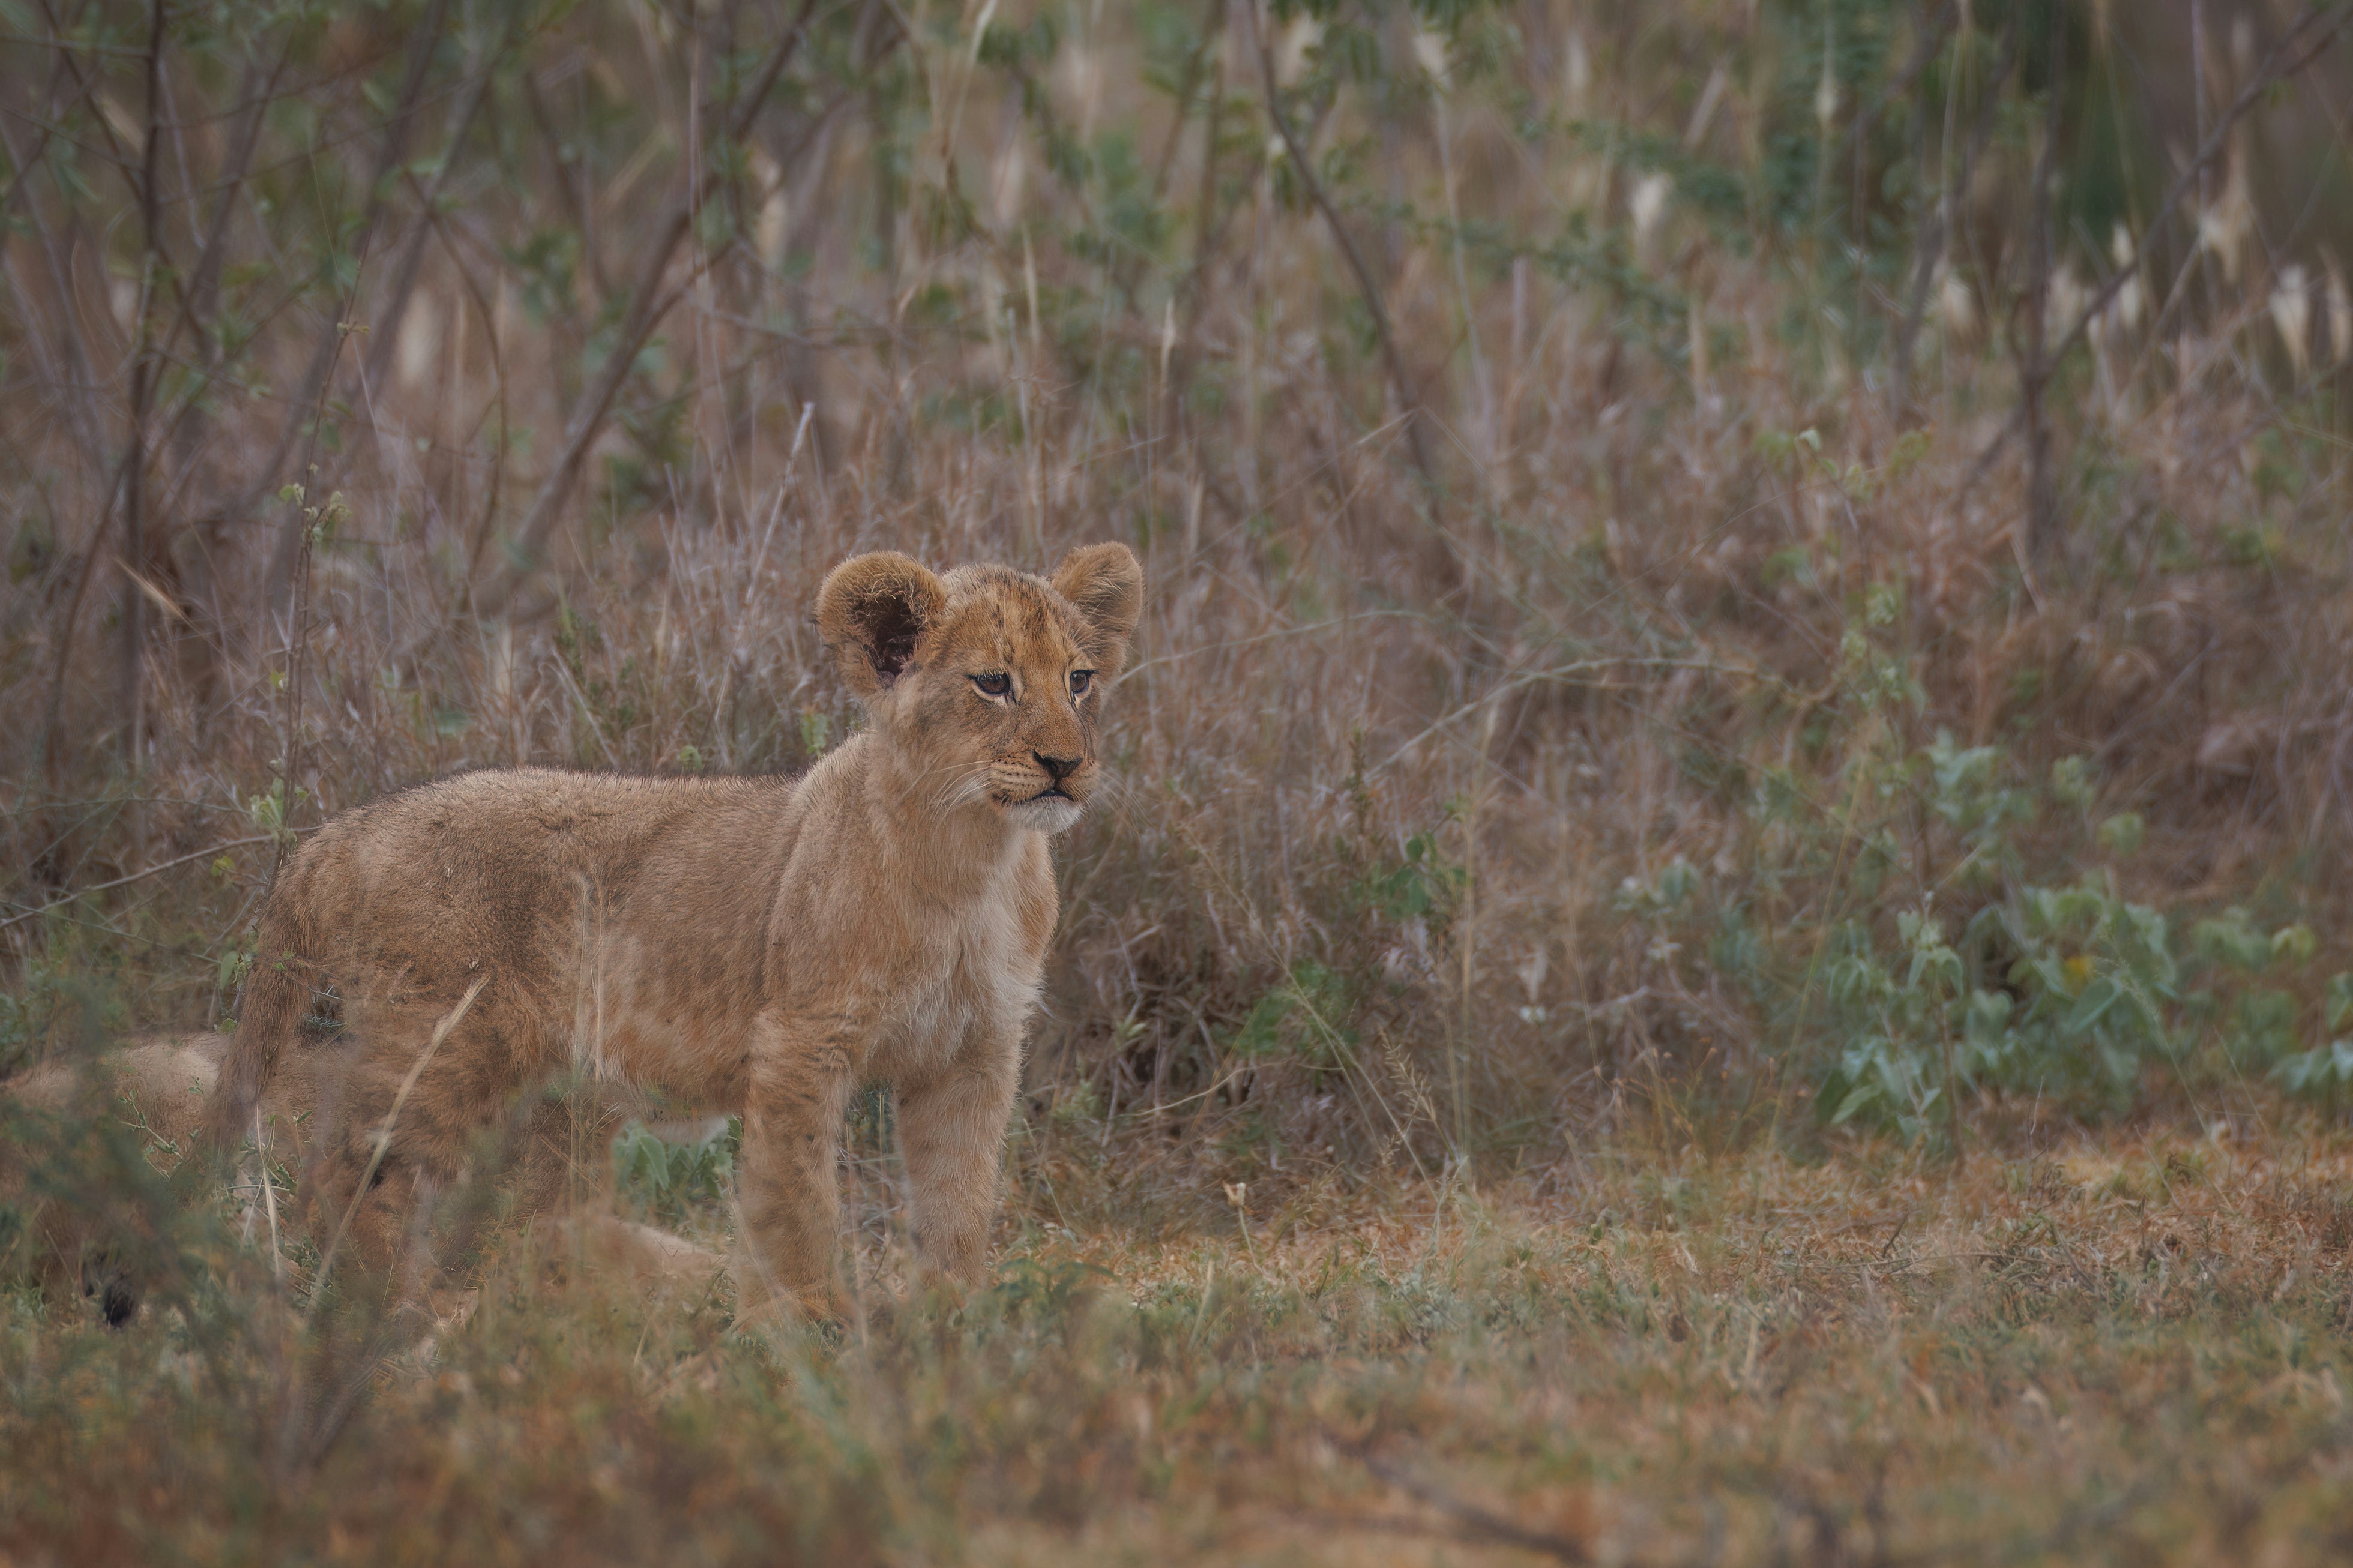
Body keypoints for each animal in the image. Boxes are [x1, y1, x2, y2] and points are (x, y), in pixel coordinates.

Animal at [210, 544, 1144, 1316]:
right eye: (992, 683)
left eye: (1079, 680)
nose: (1066, 764)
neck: (973, 861)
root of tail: (341, 831)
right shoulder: (801, 1042)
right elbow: (796, 1200)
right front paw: (815, 1332)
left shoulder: (975, 1053)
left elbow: (959, 1205)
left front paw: (955, 1330)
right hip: (443, 1044)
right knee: (345, 1176)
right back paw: (386, 1318)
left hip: (551, 1103)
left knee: (528, 1226)